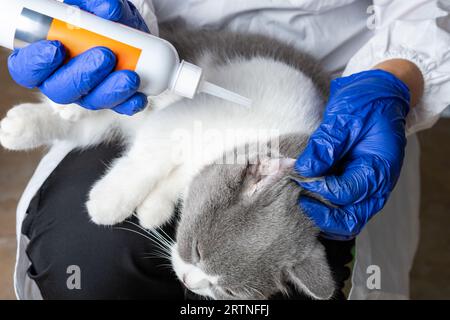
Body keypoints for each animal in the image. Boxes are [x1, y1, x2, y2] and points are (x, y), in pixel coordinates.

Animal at [0, 28, 334, 300]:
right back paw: (51, 107)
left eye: (227, 291)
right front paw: (110, 201)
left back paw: (20, 128)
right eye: (197, 250)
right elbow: (150, 158)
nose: (189, 281)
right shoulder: (179, 119)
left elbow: (172, 182)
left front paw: (152, 210)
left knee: (86, 126)